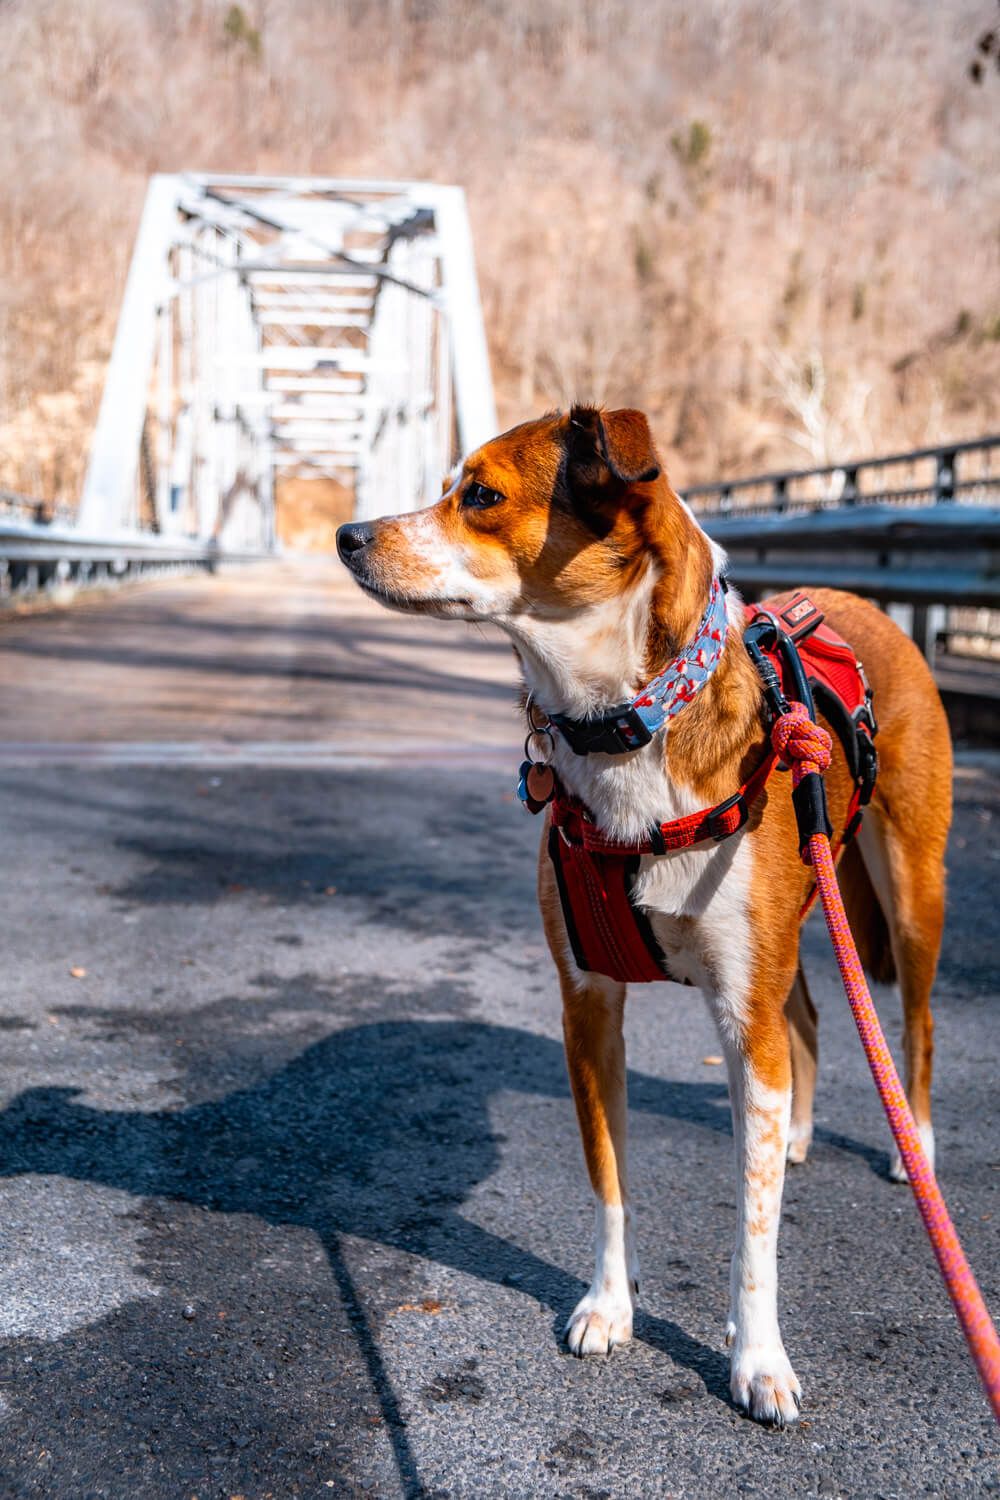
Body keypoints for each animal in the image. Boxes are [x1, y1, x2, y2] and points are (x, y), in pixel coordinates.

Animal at [335, 405, 953, 1422]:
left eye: (481, 494)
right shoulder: (589, 1008)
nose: (347, 534)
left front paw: (759, 1356)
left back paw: (917, 1149)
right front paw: (608, 1306)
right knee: (809, 1018)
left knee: (915, 1022)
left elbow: (753, 1229)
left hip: (910, 890)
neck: (625, 724)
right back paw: (798, 1137)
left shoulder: (741, 1014)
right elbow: (610, 1182)